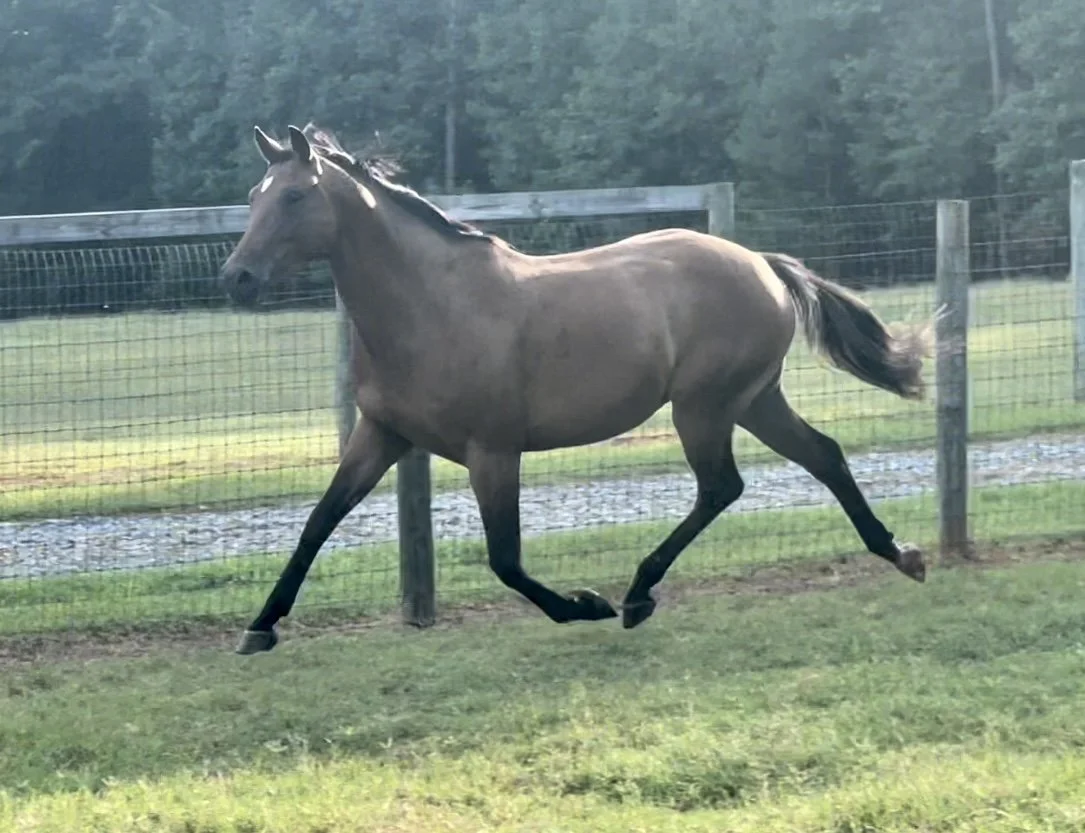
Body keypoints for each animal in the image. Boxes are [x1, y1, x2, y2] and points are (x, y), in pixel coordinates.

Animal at [220, 123, 932, 655]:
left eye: (294, 197)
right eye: (253, 195)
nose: (236, 278)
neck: (433, 306)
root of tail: (762, 263)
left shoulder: (493, 451)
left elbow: (505, 559)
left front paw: (584, 605)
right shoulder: (382, 435)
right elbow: (318, 522)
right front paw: (260, 627)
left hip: (704, 407)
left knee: (722, 487)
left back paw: (638, 595)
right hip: (754, 400)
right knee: (823, 456)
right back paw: (901, 553)